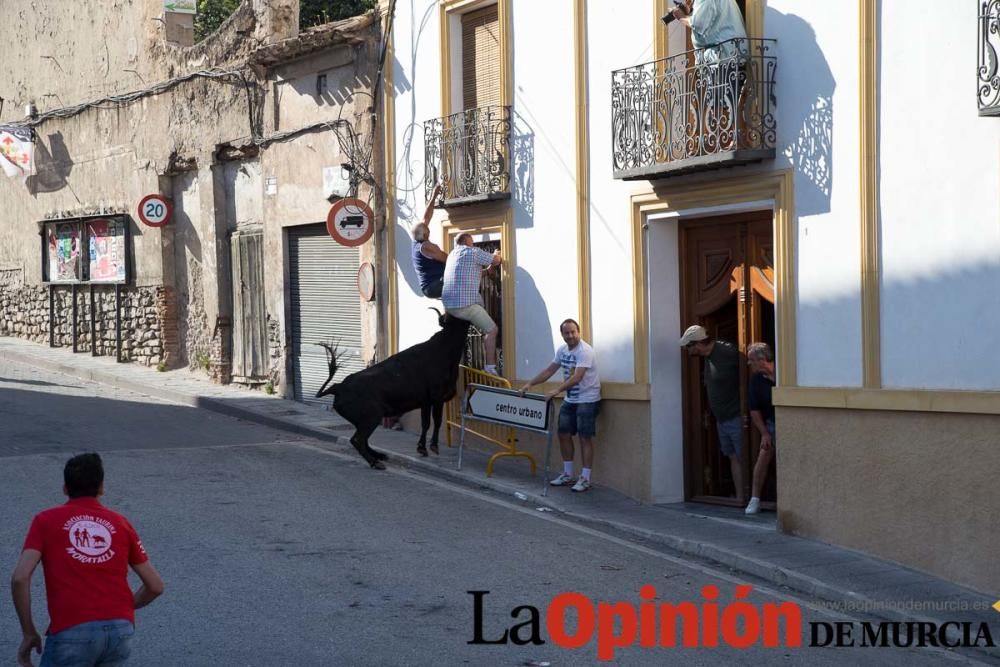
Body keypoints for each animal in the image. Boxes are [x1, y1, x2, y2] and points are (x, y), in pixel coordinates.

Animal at [314, 310, 470, 470]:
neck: (444, 348)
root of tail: (338, 387)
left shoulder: (425, 402)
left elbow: (425, 423)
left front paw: (422, 448)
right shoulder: (437, 398)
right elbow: (437, 421)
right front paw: (433, 447)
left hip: (363, 420)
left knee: (363, 440)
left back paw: (379, 455)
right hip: (371, 417)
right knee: (358, 439)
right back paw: (375, 462)